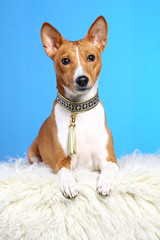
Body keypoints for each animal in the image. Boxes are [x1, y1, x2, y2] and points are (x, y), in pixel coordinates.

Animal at [27, 15, 119, 199]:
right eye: (65, 61)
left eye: (91, 57)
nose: (82, 79)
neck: (79, 110)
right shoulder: (61, 160)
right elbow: (65, 171)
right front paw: (69, 184)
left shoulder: (108, 158)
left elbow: (109, 169)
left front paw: (105, 182)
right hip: (32, 152)